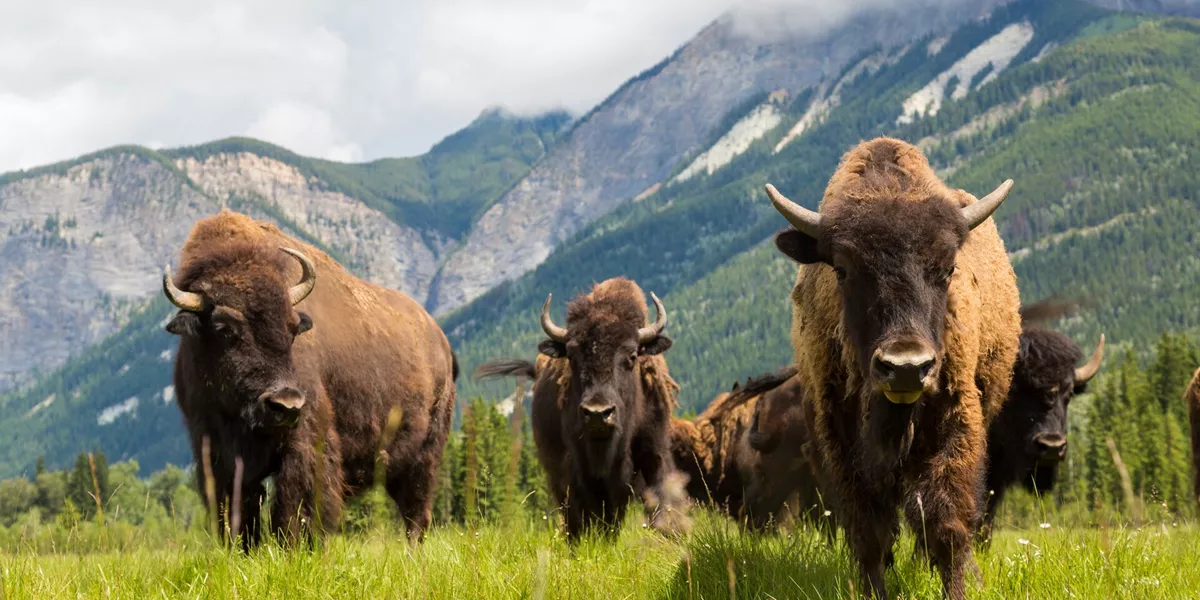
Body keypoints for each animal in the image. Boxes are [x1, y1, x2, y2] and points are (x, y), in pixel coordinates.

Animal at [163, 210, 457, 547]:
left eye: (293, 328)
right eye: (224, 328)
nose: (285, 403)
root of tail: (441, 342)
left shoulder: (304, 440)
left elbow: (295, 505)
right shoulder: (216, 450)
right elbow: (239, 509)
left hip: (425, 455)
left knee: (415, 512)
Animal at [475, 278, 690, 540]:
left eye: (632, 356)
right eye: (572, 355)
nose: (598, 413)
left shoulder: (654, 450)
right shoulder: (577, 467)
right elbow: (588, 513)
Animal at [767, 137, 1021, 599]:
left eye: (948, 268)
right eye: (842, 270)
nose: (905, 366)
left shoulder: (955, 423)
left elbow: (947, 525)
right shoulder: (842, 440)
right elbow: (869, 532)